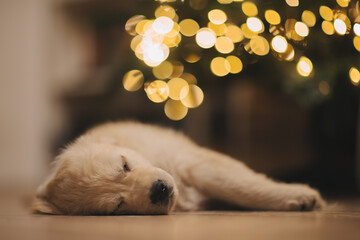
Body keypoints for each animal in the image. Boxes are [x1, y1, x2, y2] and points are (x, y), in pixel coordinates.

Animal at [33, 121, 326, 215]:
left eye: (125, 165)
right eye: (118, 205)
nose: (159, 190)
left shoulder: (196, 162)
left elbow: (244, 186)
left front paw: (298, 195)